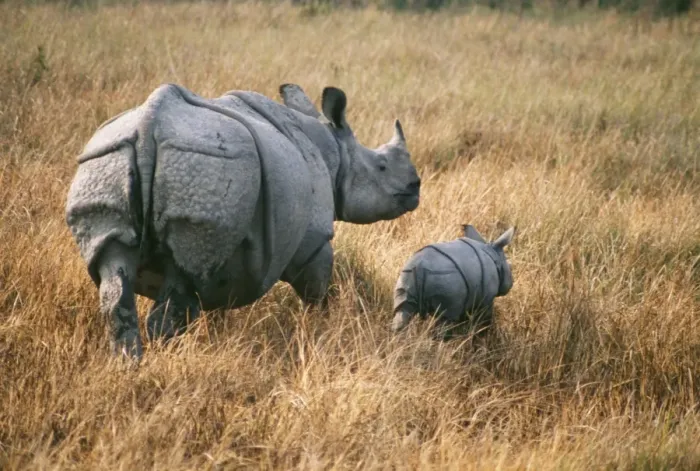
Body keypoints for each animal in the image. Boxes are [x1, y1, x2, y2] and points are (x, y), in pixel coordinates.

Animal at [65, 82, 421, 360]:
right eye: (381, 166)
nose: (415, 187)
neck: (335, 153)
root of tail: (148, 126)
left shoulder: (231, 249)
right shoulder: (314, 242)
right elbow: (317, 292)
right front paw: (322, 329)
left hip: (107, 161)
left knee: (118, 273)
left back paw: (128, 365)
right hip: (206, 165)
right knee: (182, 278)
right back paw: (160, 360)